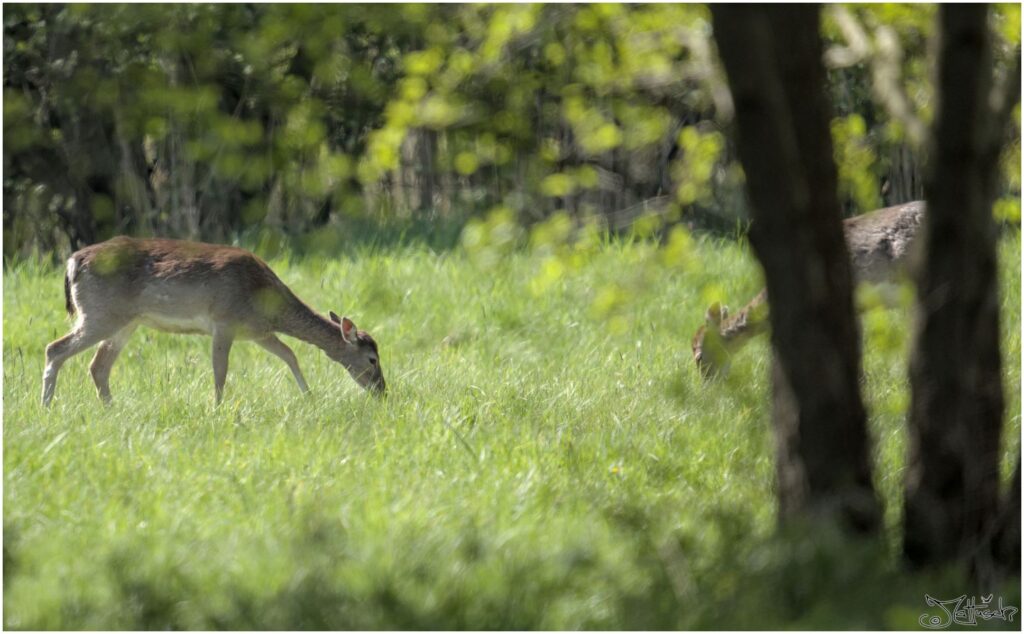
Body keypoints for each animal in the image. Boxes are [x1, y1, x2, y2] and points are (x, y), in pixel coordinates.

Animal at [38, 236, 385, 407]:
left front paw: (309, 397)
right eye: (372, 358)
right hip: (100, 313)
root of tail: (72, 261)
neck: (263, 299)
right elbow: (220, 371)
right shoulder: (224, 321)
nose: (382, 390)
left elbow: (290, 355)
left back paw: (112, 410)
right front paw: (217, 410)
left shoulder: (257, 332)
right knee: (55, 348)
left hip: (125, 321)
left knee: (98, 366)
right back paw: (46, 407)